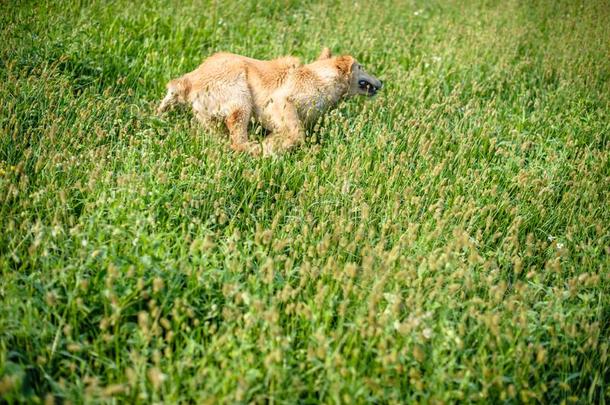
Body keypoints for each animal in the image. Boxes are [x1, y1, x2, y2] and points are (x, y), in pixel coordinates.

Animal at [157, 47, 380, 155]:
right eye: (361, 67)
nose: (382, 82)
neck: (320, 77)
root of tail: (190, 81)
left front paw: (275, 142)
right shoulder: (280, 100)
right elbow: (296, 132)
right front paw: (273, 146)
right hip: (241, 98)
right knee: (238, 142)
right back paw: (257, 150)